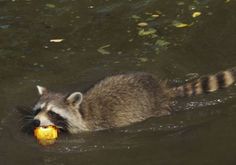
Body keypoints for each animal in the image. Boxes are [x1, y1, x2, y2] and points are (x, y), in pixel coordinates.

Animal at [21, 67, 235, 134]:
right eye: (38, 110)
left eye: (52, 112)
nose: (36, 121)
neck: (82, 110)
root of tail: (161, 89)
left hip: (157, 108)